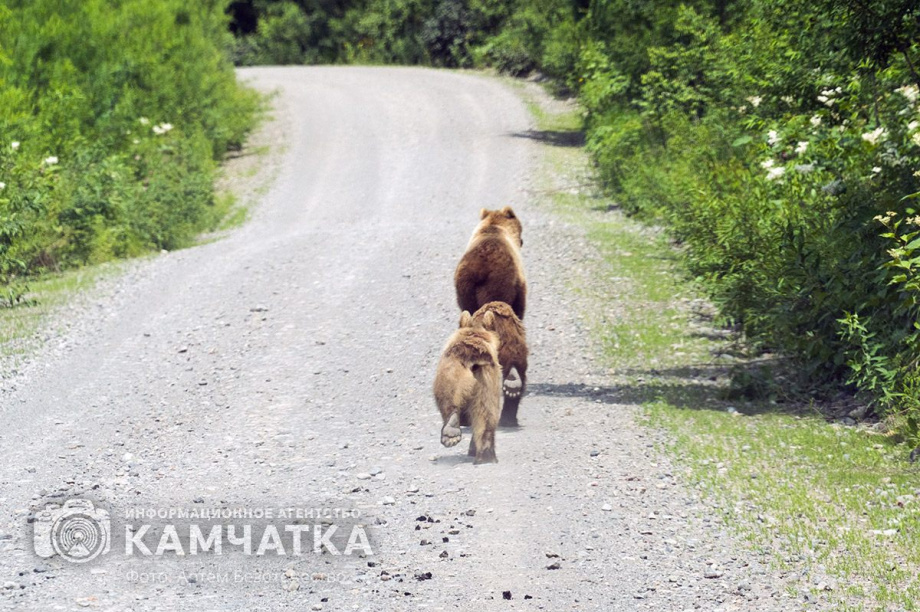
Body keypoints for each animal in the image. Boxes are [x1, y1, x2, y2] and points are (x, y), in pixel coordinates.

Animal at [434, 310, 504, 464]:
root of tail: (472, 355)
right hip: (485, 381)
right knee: (486, 415)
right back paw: (486, 455)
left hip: (453, 375)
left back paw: (452, 432)